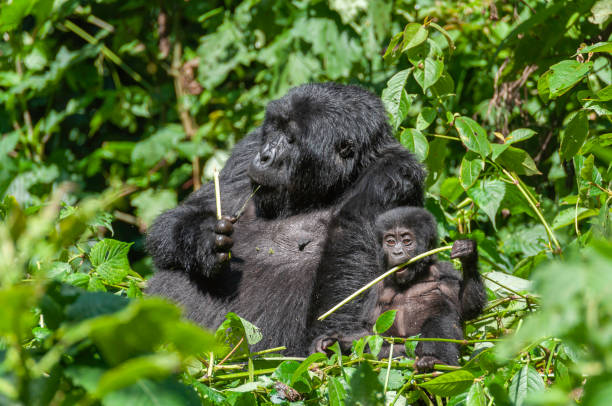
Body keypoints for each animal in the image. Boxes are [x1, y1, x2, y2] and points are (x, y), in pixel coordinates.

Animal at [147, 83, 426, 356]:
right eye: (275, 130)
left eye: (291, 140)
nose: (264, 156)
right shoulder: (247, 148)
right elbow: (181, 217)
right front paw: (204, 239)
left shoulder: (390, 175)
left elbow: (351, 270)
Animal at [314, 208, 486, 372]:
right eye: (390, 241)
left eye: (406, 241)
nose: (397, 252)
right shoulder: (376, 287)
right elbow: (368, 332)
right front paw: (332, 341)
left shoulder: (444, 271)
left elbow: (466, 307)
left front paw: (468, 254)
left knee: (440, 320)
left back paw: (435, 361)